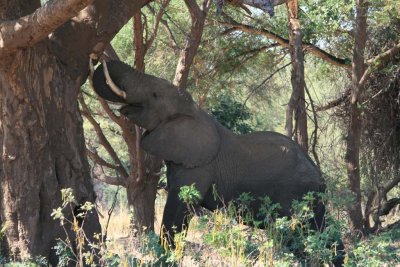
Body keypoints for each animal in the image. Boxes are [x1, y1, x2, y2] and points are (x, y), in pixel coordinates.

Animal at [91, 60, 344, 266]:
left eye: (154, 95)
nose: (98, 57)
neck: (194, 111)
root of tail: (320, 177)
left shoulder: (199, 167)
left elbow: (177, 209)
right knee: (321, 232)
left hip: (297, 195)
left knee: (300, 235)